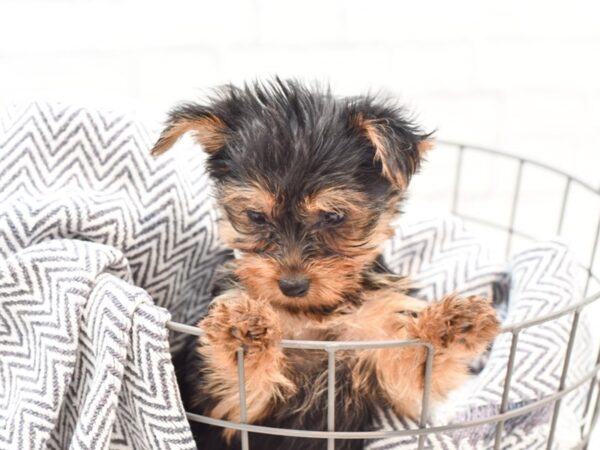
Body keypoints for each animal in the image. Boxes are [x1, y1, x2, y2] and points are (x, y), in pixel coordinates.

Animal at [152, 80, 500, 450]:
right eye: (256, 216)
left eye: (333, 217)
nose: (291, 285)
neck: (315, 314)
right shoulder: (227, 406)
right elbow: (239, 380)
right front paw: (242, 327)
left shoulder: (388, 359)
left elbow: (418, 368)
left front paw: (454, 324)